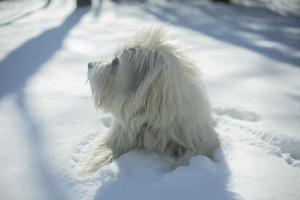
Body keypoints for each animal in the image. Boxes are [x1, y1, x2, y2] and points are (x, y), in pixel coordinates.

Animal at [82, 27, 220, 175]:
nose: (89, 64)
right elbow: (101, 155)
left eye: (115, 62)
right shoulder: (120, 137)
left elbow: (191, 156)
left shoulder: (200, 141)